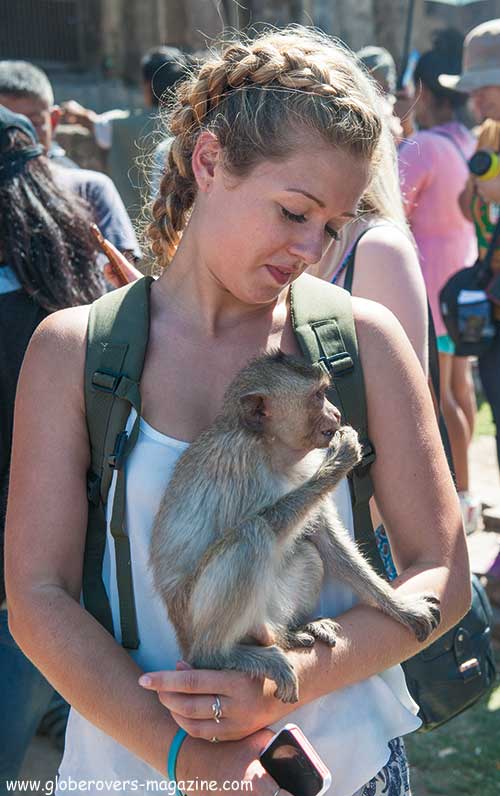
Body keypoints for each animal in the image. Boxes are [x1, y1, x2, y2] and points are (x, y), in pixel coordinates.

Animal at [149, 348, 442, 704]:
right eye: (317, 396)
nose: (335, 412)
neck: (270, 446)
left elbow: (328, 542)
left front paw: (401, 607)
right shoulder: (238, 462)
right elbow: (260, 524)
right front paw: (339, 459)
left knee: (308, 554)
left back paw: (283, 633)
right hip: (195, 618)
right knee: (252, 534)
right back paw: (218, 655)